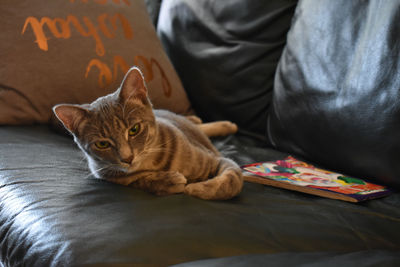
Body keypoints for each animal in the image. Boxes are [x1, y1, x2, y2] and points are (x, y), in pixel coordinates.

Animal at [51, 68, 242, 200]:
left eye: (134, 129)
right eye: (102, 144)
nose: (127, 158)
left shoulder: (216, 159)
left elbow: (233, 179)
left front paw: (197, 189)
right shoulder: (108, 174)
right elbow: (139, 180)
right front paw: (166, 181)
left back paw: (223, 124)